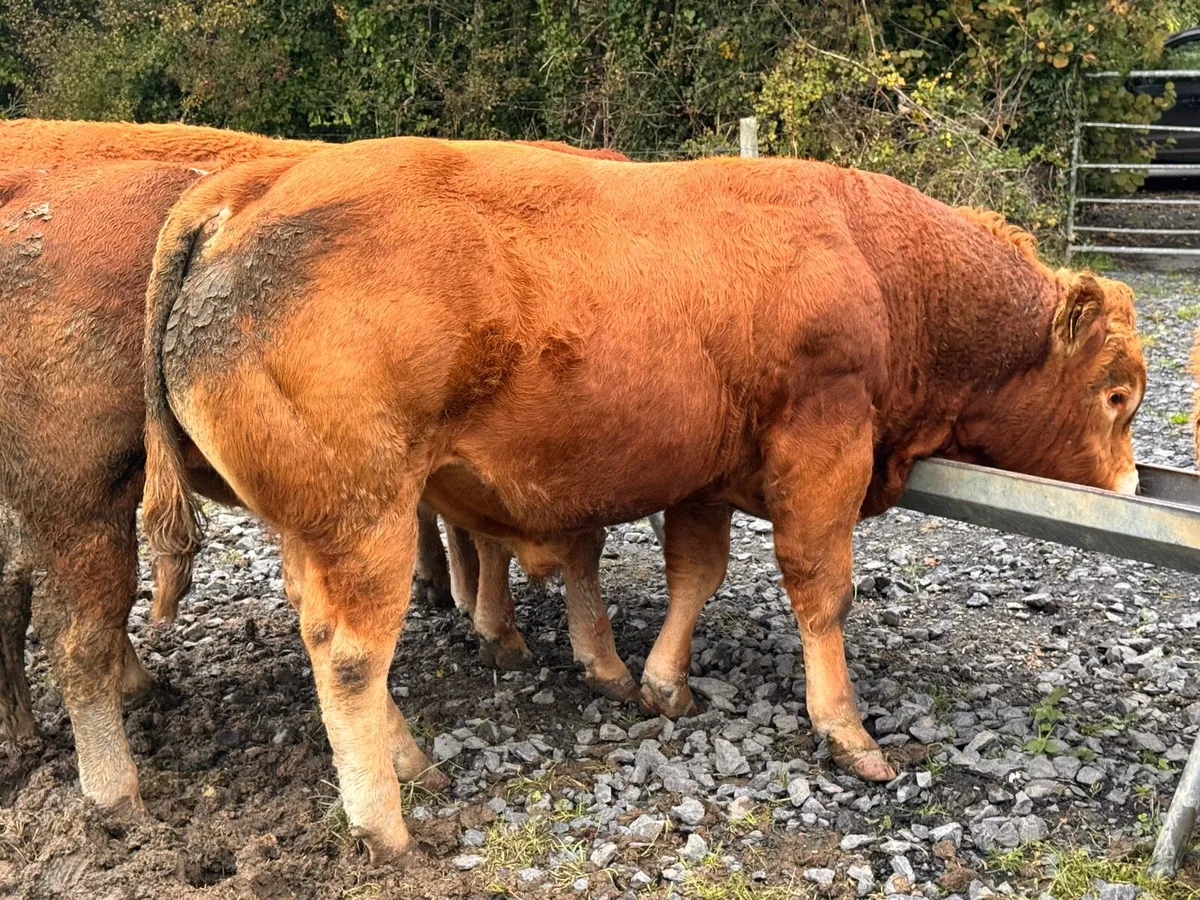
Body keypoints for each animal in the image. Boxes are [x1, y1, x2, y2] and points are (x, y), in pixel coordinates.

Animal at [140, 138, 1144, 862]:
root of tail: (251, 189)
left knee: (318, 629)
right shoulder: (824, 444)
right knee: (350, 657)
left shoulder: (706, 473)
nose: (1133, 483)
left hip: (309, 526)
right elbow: (822, 590)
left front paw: (661, 682)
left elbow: (696, 574)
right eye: (1117, 394)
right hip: (366, 517)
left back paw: (412, 761)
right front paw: (846, 730)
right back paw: (384, 824)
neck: (872, 257)